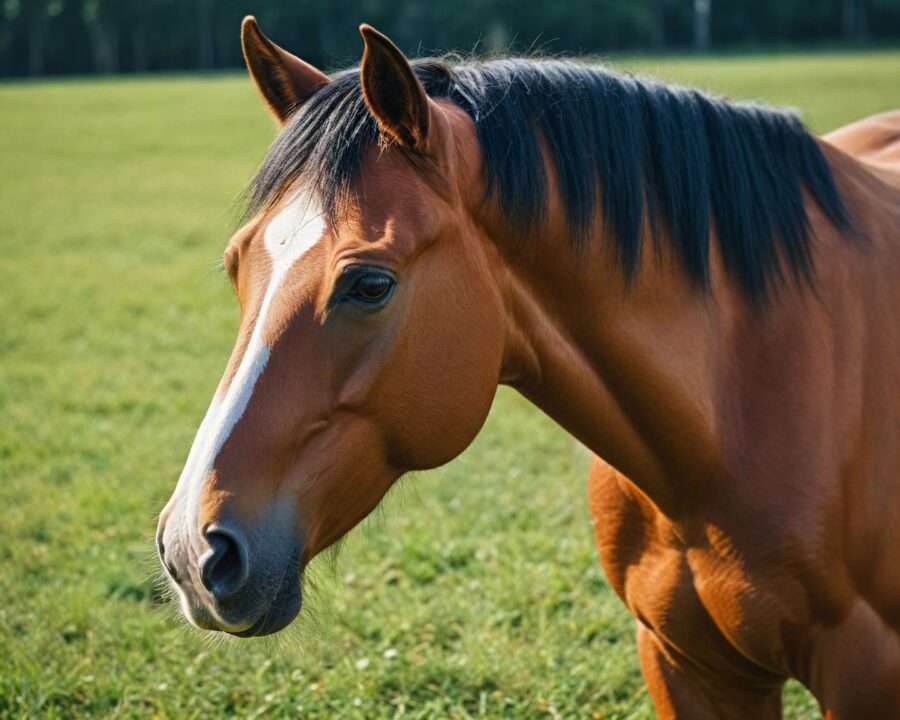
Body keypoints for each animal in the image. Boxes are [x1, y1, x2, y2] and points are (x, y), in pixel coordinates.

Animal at [156, 17, 900, 719]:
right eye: (236, 266)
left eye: (369, 284)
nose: (193, 551)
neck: (739, 405)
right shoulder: (684, 665)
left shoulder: (862, 677)